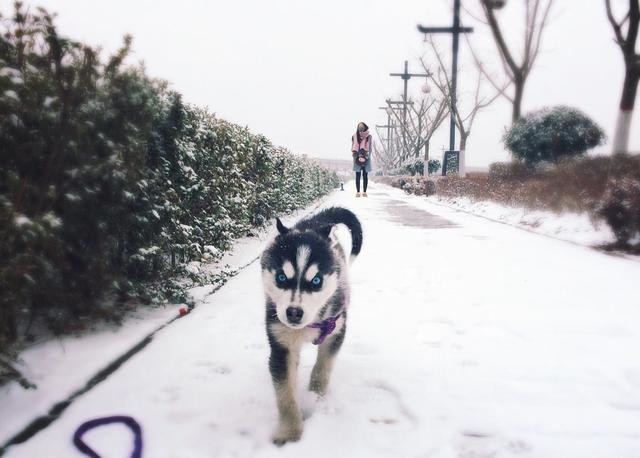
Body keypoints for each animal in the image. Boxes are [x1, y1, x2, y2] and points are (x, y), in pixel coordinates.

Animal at [258, 207, 360, 444]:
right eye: (281, 277)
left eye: (316, 281)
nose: (294, 313)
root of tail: (314, 222)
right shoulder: (281, 345)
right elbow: (285, 393)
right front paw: (289, 432)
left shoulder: (336, 330)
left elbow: (323, 367)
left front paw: (315, 395)